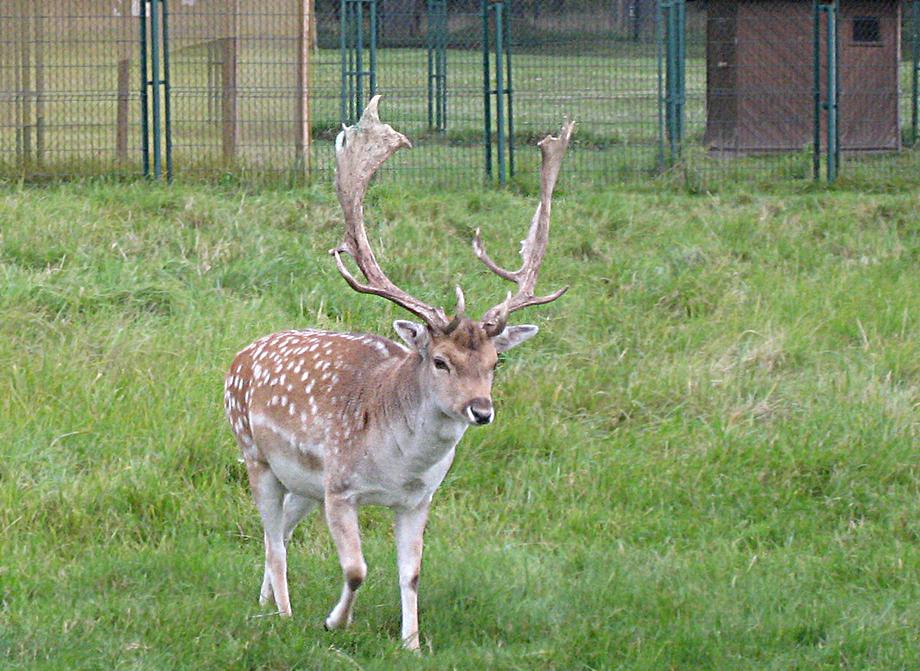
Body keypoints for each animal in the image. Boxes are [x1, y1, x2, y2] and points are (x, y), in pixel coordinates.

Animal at [223, 95, 573, 650]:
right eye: (440, 359)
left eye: (496, 362)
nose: (481, 410)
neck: (397, 465)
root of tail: (238, 357)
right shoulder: (339, 487)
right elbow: (357, 569)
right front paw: (334, 622)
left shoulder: (416, 499)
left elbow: (411, 573)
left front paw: (412, 642)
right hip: (254, 454)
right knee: (273, 539)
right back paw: (283, 611)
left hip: (299, 482)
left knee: (278, 532)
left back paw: (264, 601)